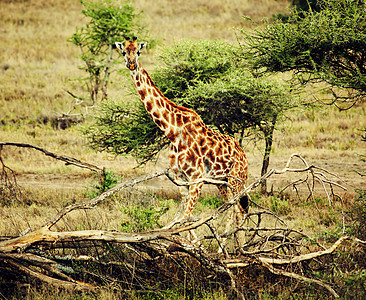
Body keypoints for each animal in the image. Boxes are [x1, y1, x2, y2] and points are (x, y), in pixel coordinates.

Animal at [116, 36, 249, 231]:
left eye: (138, 51)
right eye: (124, 51)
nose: (131, 64)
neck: (172, 131)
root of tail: (244, 157)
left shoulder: (196, 178)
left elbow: (186, 219)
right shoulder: (181, 179)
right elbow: (182, 222)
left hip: (236, 180)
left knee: (238, 210)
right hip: (222, 181)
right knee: (235, 209)